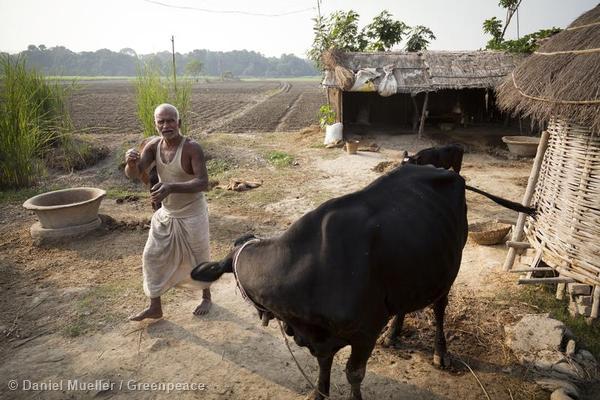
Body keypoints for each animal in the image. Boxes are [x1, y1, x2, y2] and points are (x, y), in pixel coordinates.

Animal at [191, 164, 536, 398]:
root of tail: (445, 171)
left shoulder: (364, 331)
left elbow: (353, 373)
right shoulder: (323, 337)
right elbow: (324, 365)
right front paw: (318, 393)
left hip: (448, 269)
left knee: (439, 309)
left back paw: (440, 352)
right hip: (408, 270)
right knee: (403, 303)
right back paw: (394, 335)